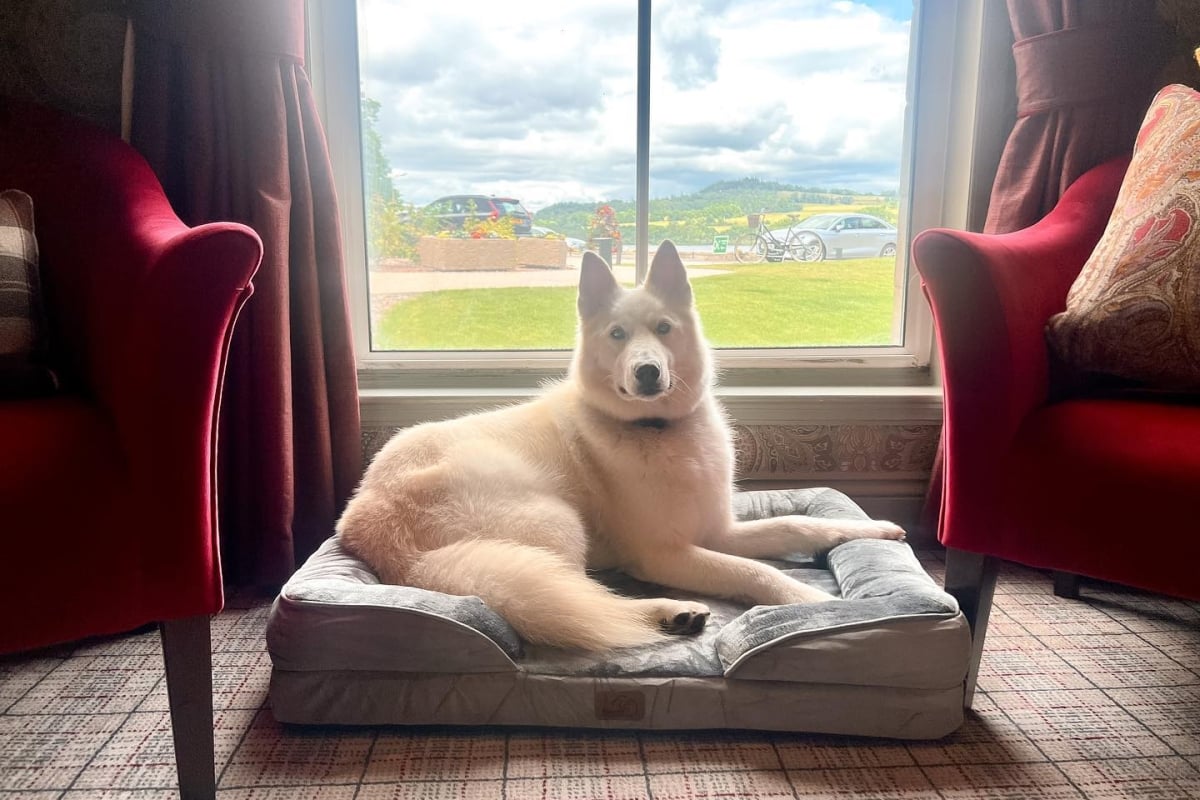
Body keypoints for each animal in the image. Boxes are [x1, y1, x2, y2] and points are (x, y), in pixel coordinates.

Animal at [336, 242, 902, 652]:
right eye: (616, 334)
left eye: (664, 328)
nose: (647, 371)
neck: (657, 430)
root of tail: (368, 519)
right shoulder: (663, 555)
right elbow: (755, 569)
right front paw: (808, 601)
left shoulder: (717, 531)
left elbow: (796, 524)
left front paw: (873, 529)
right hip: (557, 523)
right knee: (581, 598)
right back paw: (664, 613)